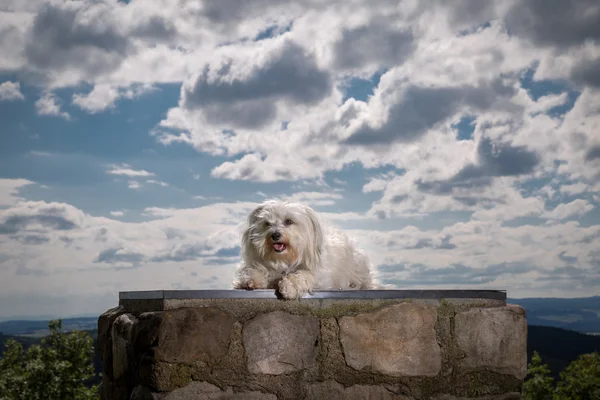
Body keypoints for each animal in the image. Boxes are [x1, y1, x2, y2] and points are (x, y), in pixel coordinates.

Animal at [234, 198, 376, 298]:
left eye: (289, 221)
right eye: (267, 223)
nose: (275, 235)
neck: (283, 259)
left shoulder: (320, 276)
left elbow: (303, 274)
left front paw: (290, 286)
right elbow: (252, 271)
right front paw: (250, 279)